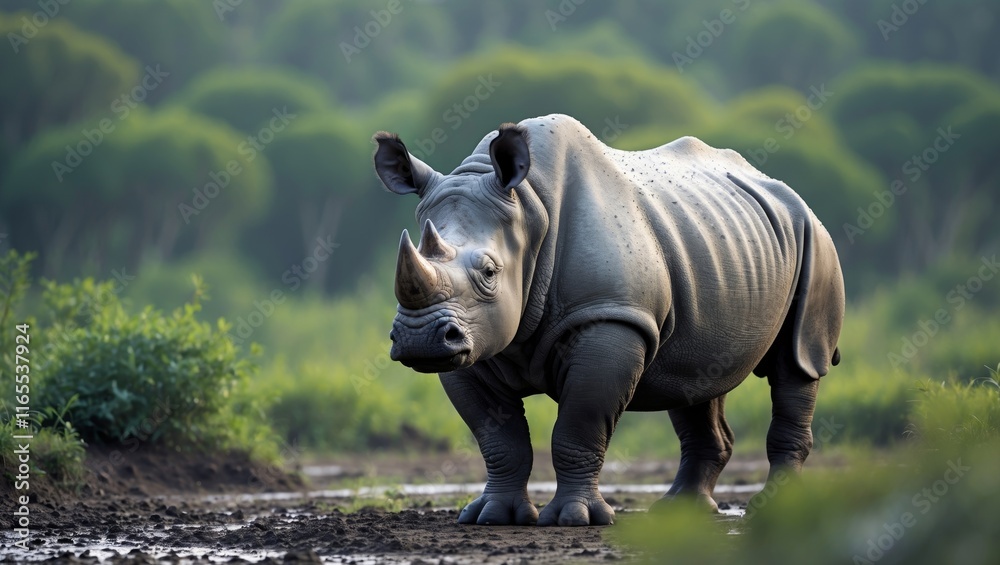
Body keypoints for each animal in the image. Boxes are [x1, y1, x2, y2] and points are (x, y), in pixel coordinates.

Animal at [373, 114, 844, 526]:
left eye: (489, 272)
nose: (419, 339)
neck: (528, 211)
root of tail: (789, 193)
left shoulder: (612, 317)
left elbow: (579, 425)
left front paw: (573, 519)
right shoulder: (475, 340)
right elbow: (499, 439)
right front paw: (491, 516)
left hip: (815, 238)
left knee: (797, 363)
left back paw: (774, 509)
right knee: (695, 376)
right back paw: (679, 512)